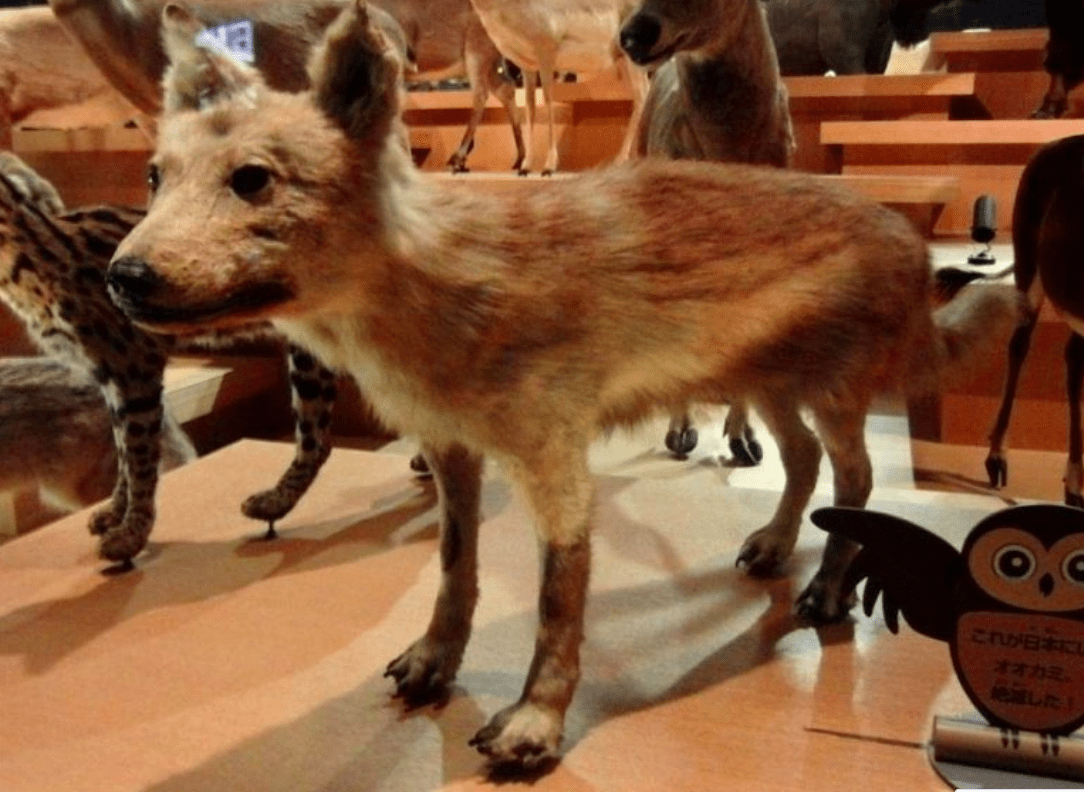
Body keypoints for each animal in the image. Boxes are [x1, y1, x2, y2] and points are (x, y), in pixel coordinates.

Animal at [106, 1, 1020, 767]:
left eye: (252, 179)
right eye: (155, 178)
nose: (123, 276)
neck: (447, 290)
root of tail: (905, 237)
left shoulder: (557, 465)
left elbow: (556, 602)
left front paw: (536, 722)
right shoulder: (452, 453)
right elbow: (455, 573)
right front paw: (435, 662)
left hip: (830, 398)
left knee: (855, 482)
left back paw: (828, 586)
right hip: (766, 391)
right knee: (799, 464)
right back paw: (770, 546)